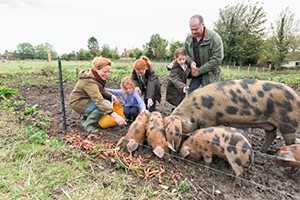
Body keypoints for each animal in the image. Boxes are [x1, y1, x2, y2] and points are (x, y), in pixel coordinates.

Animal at [171, 79, 300, 152]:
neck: (195, 108)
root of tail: (297, 97)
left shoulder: (209, 120)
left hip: (288, 123)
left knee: (290, 142)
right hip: (270, 124)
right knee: (271, 135)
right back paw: (261, 151)